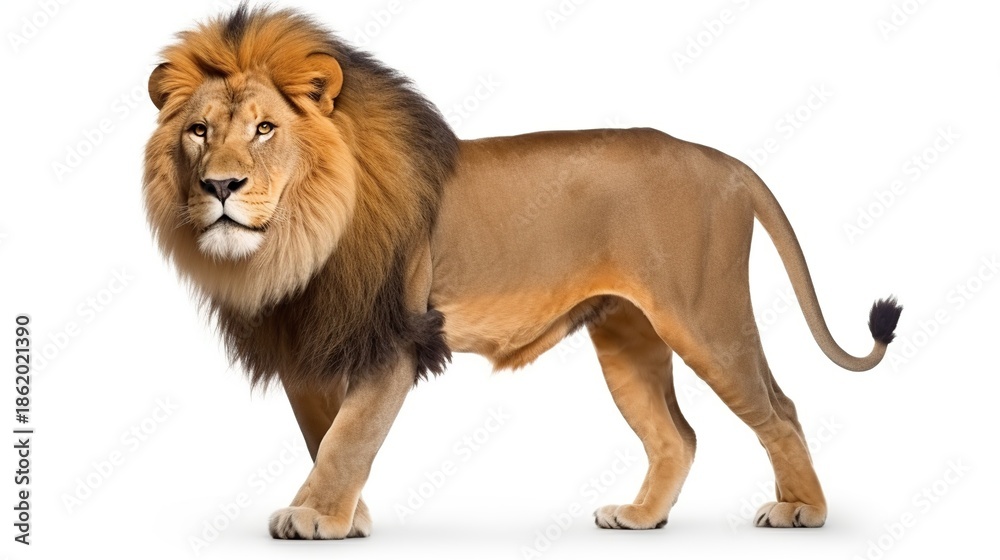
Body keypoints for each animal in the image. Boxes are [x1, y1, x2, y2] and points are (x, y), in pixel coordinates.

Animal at [144, 5, 902, 538]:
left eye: (265, 128)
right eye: (199, 131)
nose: (220, 186)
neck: (296, 243)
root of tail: (728, 163)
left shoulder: (397, 340)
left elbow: (348, 439)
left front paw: (314, 518)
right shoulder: (309, 349)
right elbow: (323, 438)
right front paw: (347, 519)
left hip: (705, 316)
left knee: (780, 407)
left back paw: (802, 511)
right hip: (628, 333)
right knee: (677, 435)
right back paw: (641, 517)